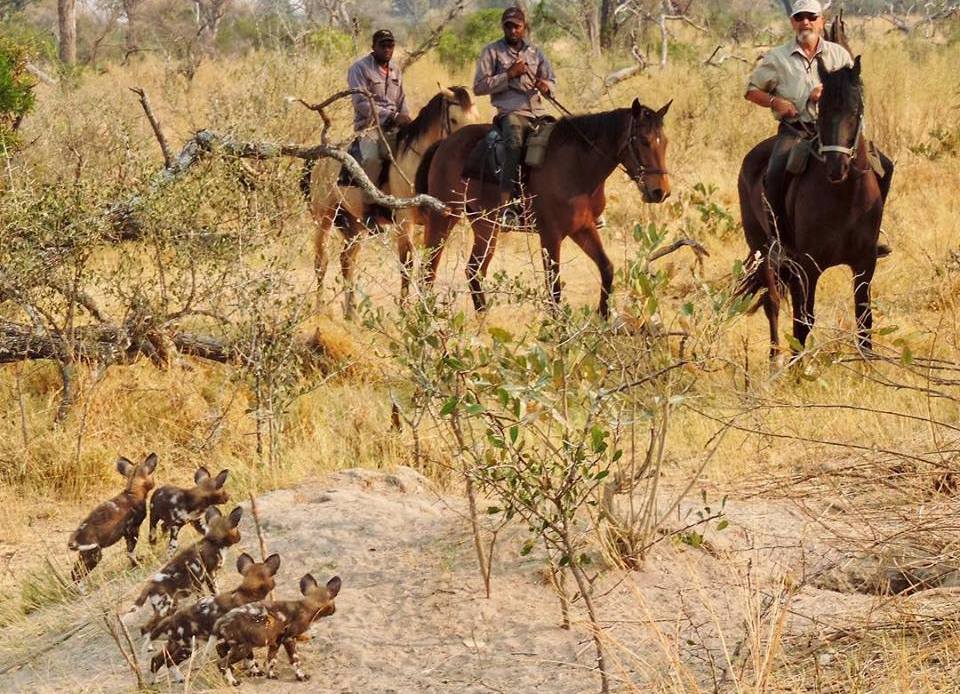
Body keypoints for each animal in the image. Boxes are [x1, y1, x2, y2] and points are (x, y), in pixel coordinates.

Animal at [132, 506, 244, 636]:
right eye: (236, 528)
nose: (239, 537)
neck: (213, 541)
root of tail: (150, 584)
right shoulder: (210, 574)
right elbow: (215, 592)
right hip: (165, 608)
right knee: (145, 628)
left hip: (171, 606)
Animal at [148, 556, 280, 684]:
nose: (275, 584)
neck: (247, 593)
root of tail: (172, 619)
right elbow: (249, 657)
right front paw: (254, 671)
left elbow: (246, 658)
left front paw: (251, 671)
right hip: (190, 647)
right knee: (169, 661)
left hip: (176, 645)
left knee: (158, 659)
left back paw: (159, 680)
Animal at [213, 576, 342, 684]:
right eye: (334, 603)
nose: (335, 610)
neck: (308, 607)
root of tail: (223, 619)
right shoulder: (289, 639)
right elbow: (295, 660)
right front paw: (300, 676)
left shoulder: (276, 641)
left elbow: (272, 660)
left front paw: (270, 675)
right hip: (243, 648)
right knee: (222, 663)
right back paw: (233, 681)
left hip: (235, 643)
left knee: (220, 648)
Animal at [416, 99, 672, 316]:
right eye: (643, 141)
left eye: (665, 142)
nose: (661, 192)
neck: (577, 166)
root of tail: (445, 143)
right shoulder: (550, 235)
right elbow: (554, 286)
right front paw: (559, 330)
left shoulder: (583, 228)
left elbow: (607, 268)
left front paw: (603, 316)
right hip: (444, 217)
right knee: (429, 268)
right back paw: (425, 316)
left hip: (485, 225)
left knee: (474, 271)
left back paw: (483, 318)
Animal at [744, 56, 884, 356]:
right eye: (822, 110)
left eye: (856, 110)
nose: (836, 167)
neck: (847, 197)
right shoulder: (809, 266)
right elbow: (803, 322)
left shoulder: (864, 263)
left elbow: (864, 321)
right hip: (764, 251)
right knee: (772, 304)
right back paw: (775, 358)